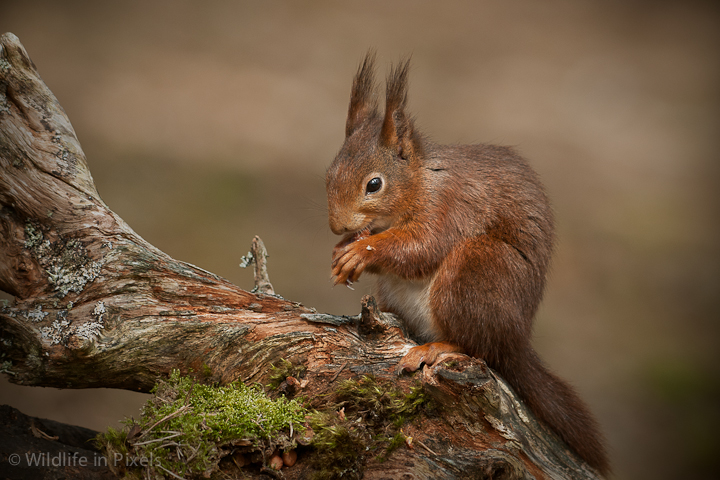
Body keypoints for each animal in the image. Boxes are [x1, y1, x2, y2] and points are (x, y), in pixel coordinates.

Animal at [326, 53, 608, 476]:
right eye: (329, 173)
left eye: (374, 184)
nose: (337, 225)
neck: (420, 182)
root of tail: (517, 339)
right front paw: (343, 250)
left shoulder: (449, 207)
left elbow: (422, 247)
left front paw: (363, 250)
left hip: (474, 270)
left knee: (479, 347)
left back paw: (437, 348)